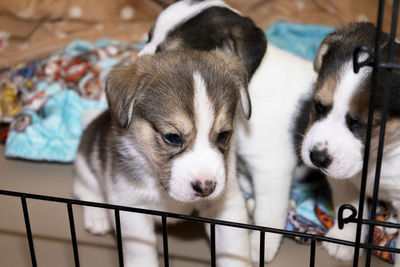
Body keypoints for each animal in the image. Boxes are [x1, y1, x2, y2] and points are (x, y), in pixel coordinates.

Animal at [72, 50, 253, 267]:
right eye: (172, 137)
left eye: (223, 135)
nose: (206, 187)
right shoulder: (131, 208)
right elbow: (140, 251)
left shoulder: (226, 204)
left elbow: (233, 249)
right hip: (86, 166)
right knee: (84, 189)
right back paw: (97, 217)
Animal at [302, 22, 400, 264]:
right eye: (319, 106)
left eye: (360, 124)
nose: (317, 158)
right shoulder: (344, 181)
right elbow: (350, 207)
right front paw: (343, 240)